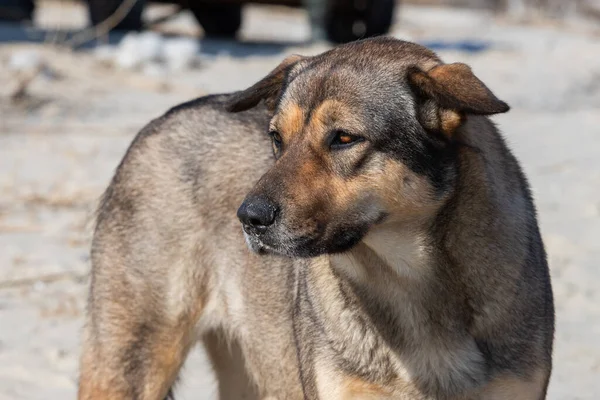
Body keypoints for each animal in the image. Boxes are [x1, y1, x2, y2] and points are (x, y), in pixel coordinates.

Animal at [78, 37, 552, 400]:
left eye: (343, 138)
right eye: (276, 138)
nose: (248, 217)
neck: (410, 286)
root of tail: (165, 117)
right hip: (130, 362)